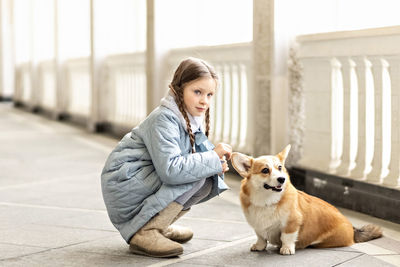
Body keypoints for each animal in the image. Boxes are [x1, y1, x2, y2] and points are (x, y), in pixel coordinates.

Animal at [233, 146, 382, 256]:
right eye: (265, 170)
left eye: (280, 168)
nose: (282, 179)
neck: (266, 200)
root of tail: (352, 228)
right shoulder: (257, 226)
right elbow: (261, 237)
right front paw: (259, 246)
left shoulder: (292, 222)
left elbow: (286, 237)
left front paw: (286, 249)